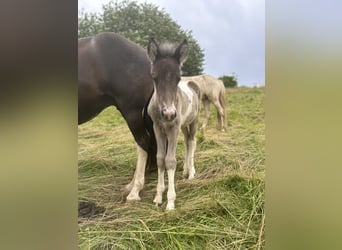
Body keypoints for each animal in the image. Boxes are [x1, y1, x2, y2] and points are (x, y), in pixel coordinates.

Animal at [146, 38, 200, 211]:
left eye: (177, 78)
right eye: (154, 77)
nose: (169, 114)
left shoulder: (173, 128)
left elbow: (170, 161)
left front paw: (170, 201)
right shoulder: (157, 127)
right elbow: (160, 159)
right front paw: (158, 196)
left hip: (193, 121)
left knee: (192, 141)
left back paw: (191, 173)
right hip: (183, 125)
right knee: (188, 142)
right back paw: (185, 171)